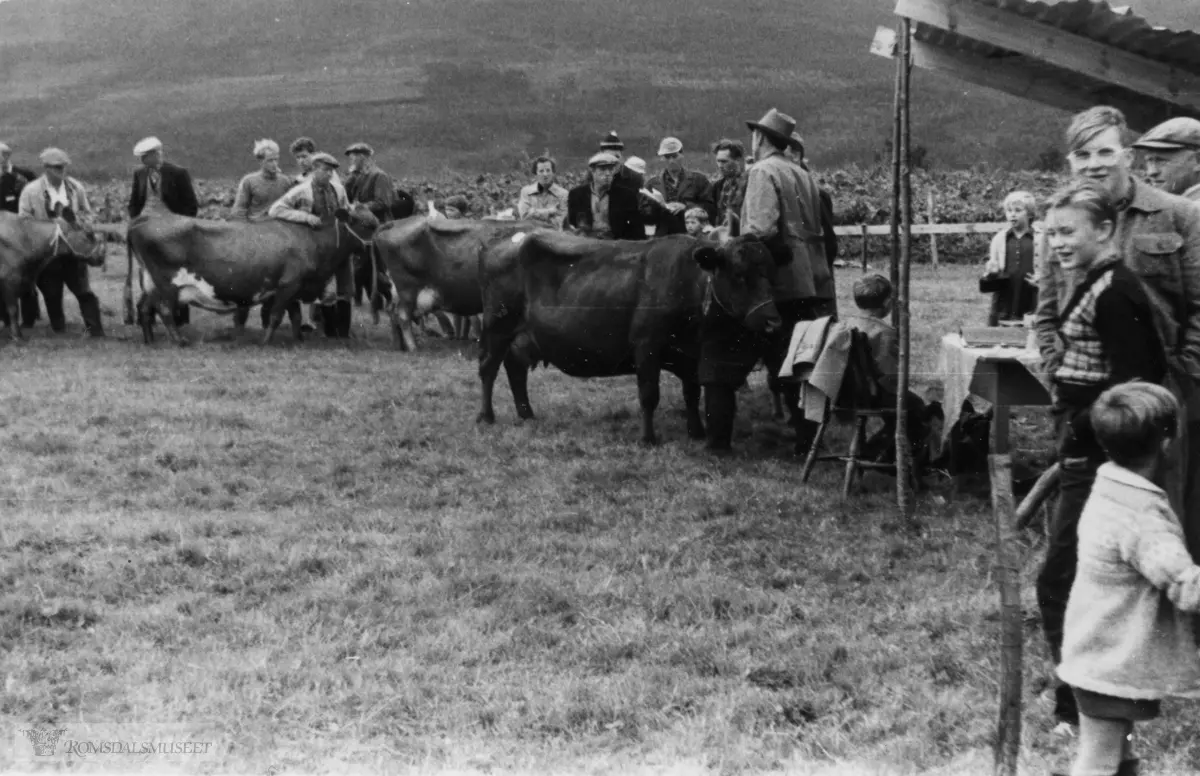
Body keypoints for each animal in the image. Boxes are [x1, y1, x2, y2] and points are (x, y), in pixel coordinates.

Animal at [477, 232, 787, 443]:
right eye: (739, 275)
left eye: (771, 274)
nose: (773, 321)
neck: (688, 282)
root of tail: (506, 242)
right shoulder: (646, 347)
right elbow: (649, 395)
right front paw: (648, 438)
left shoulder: (690, 354)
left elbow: (691, 393)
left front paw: (696, 431)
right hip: (497, 328)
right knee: (488, 369)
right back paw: (486, 416)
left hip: (521, 338)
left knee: (515, 369)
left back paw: (526, 413)